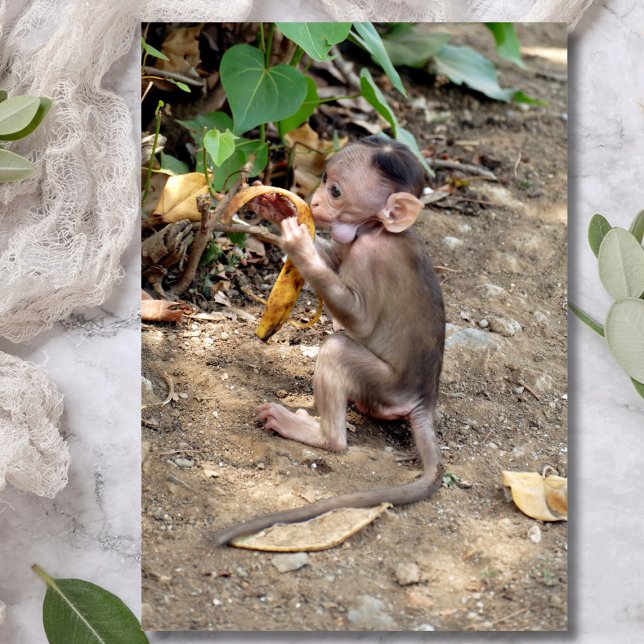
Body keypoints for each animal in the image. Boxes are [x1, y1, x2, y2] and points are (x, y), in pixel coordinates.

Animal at [212, 135, 445, 546]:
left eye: (336, 191)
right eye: (323, 180)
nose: (316, 201)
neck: (376, 230)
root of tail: (423, 399)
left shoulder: (371, 255)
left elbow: (359, 318)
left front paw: (299, 246)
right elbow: (334, 258)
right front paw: (275, 207)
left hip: (387, 387)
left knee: (337, 350)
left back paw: (319, 434)